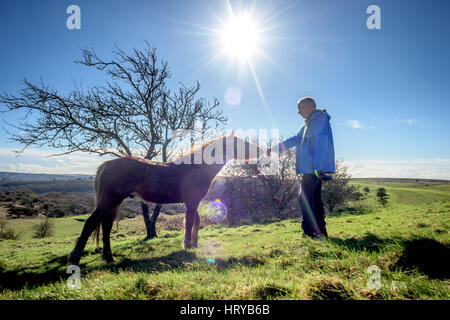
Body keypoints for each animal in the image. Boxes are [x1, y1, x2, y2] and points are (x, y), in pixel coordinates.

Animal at [68, 133, 262, 264]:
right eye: (241, 143)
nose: (261, 150)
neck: (195, 168)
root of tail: (108, 165)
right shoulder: (191, 201)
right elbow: (189, 222)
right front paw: (188, 245)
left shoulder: (192, 202)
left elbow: (196, 221)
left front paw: (194, 243)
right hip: (111, 201)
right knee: (91, 222)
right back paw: (75, 256)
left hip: (113, 204)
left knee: (106, 226)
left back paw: (108, 257)